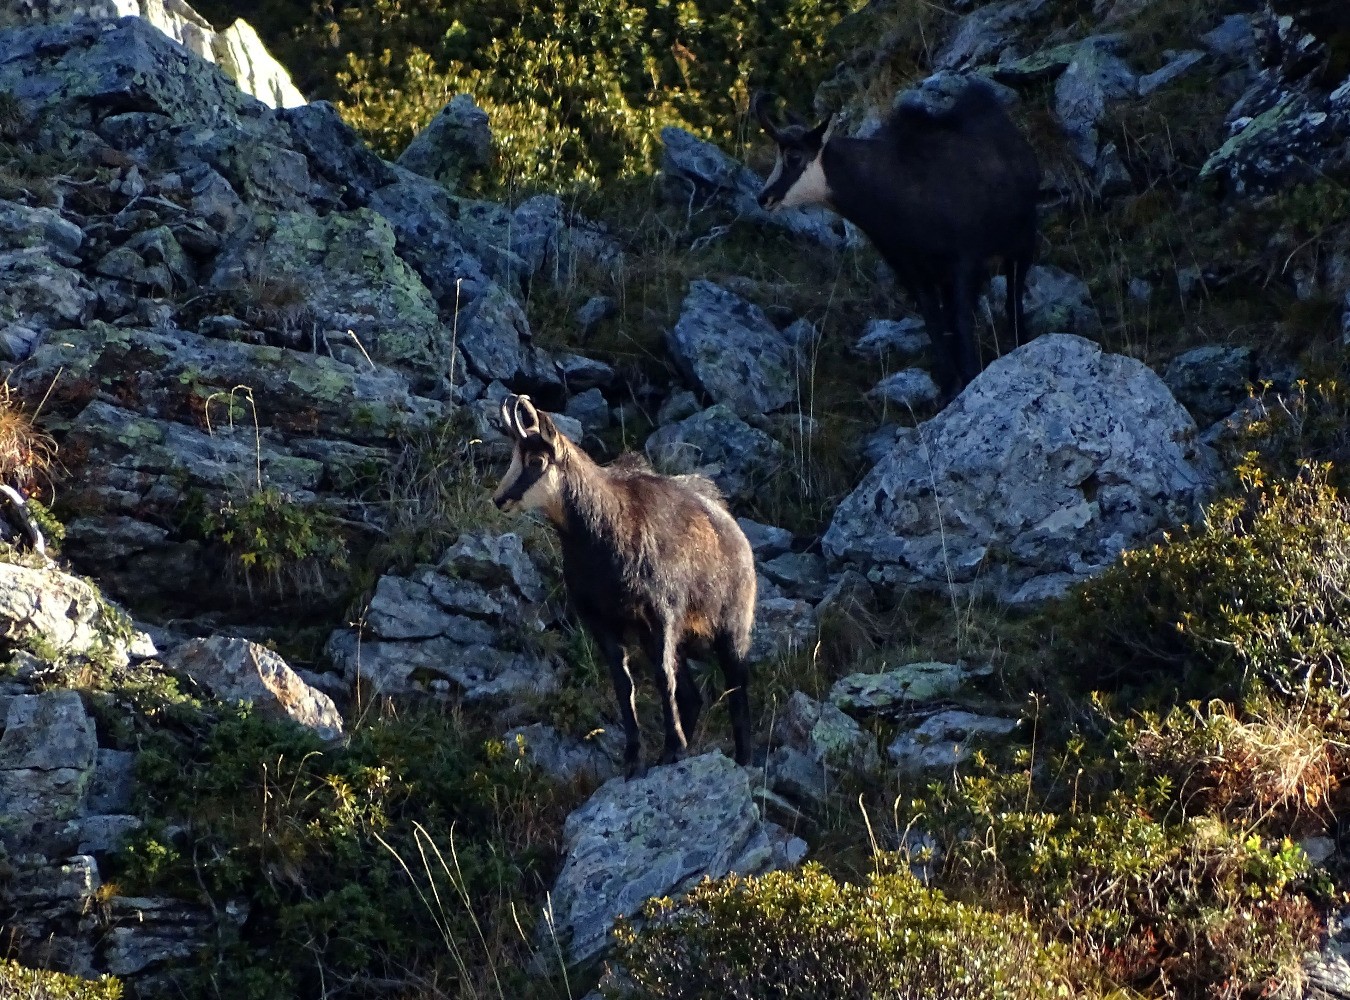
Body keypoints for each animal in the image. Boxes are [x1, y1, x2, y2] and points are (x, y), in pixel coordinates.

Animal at [492, 393, 755, 778]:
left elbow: (663, 677)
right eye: (514, 456)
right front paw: (636, 758)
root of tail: (736, 533)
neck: (598, 535)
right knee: (693, 696)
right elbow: (623, 685)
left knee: (736, 686)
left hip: (730, 626)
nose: (500, 500)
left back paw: (743, 759)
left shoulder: (661, 613)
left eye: (536, 460)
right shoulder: (600, 619)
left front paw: (674, 747)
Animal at [753, 81, 1041, 402]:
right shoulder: (911, 269)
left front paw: (968, 376)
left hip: (1023, 236)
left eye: (794, 156)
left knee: (1013, 291)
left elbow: (960, 320)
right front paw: (950, 386)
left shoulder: (963, 259)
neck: (895, 191)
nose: (764, 198)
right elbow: (934, 323)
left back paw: (1019, 339)